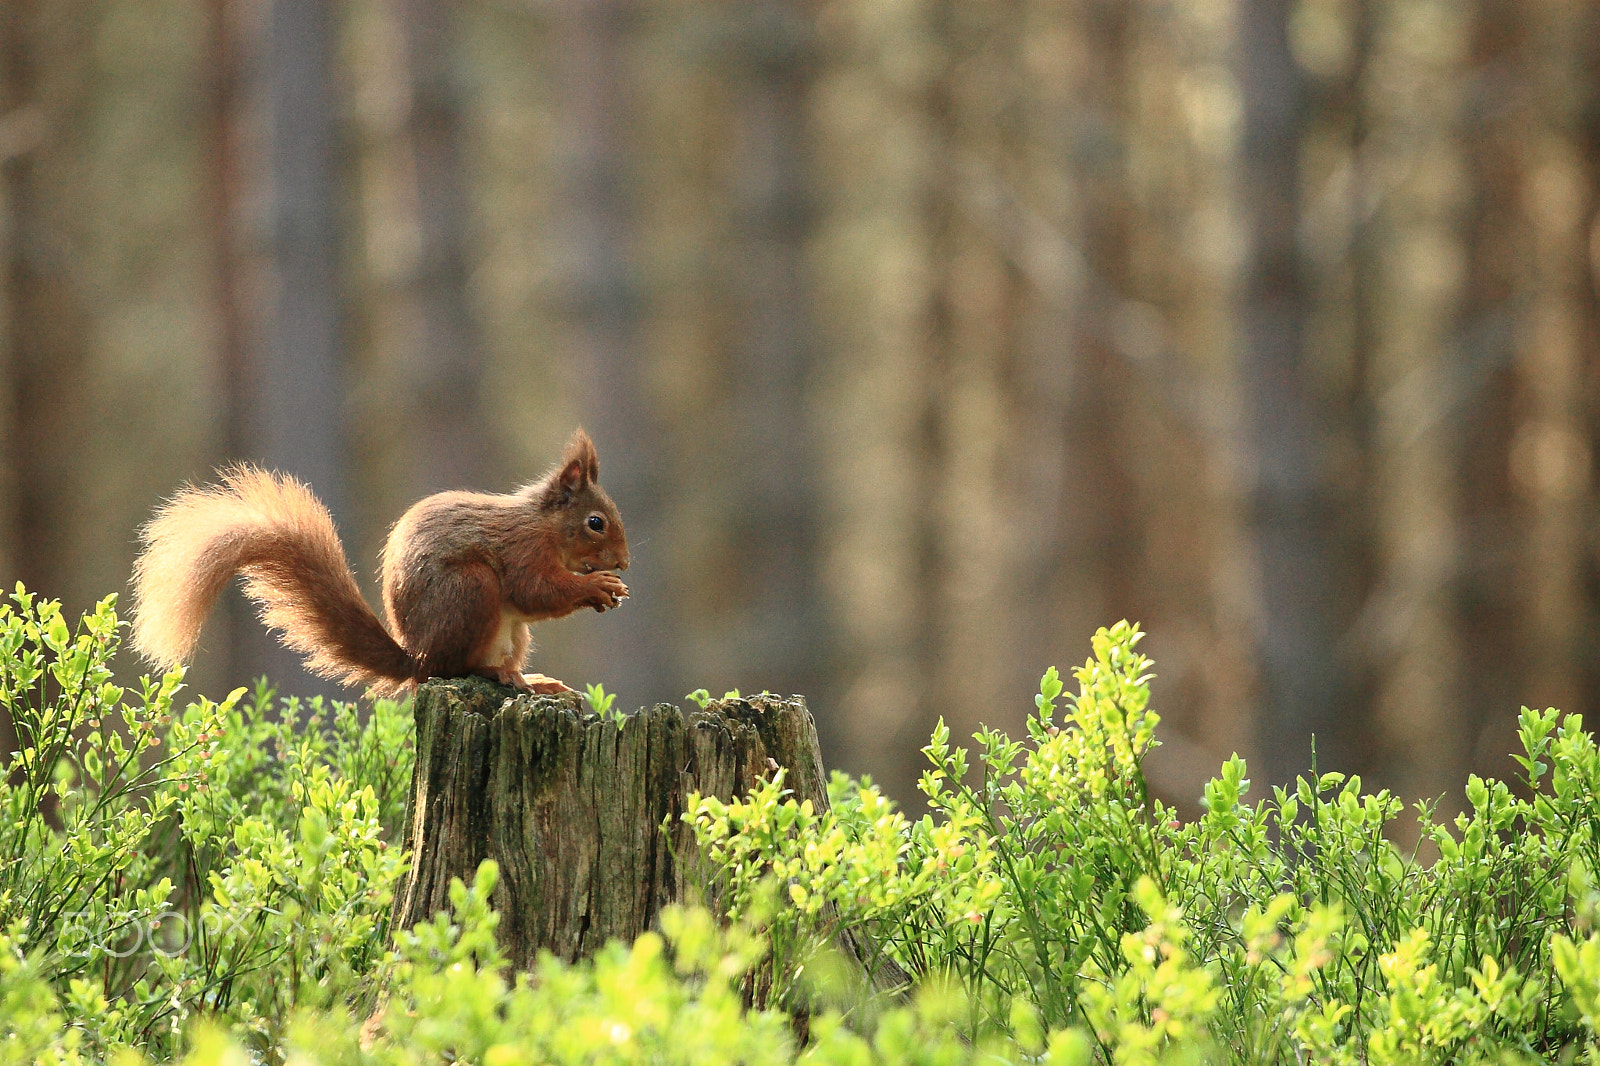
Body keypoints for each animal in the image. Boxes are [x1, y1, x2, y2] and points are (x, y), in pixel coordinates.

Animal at [128, 428, 627, 694]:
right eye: (596, 522)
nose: (622, 562)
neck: (544, 526)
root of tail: (416, 658)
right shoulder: (521, 549)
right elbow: (535, 590)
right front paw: (598, 587)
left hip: (510, 631)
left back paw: (531, 680)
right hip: (472, 589)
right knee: (455, 668)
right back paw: (496, 672)